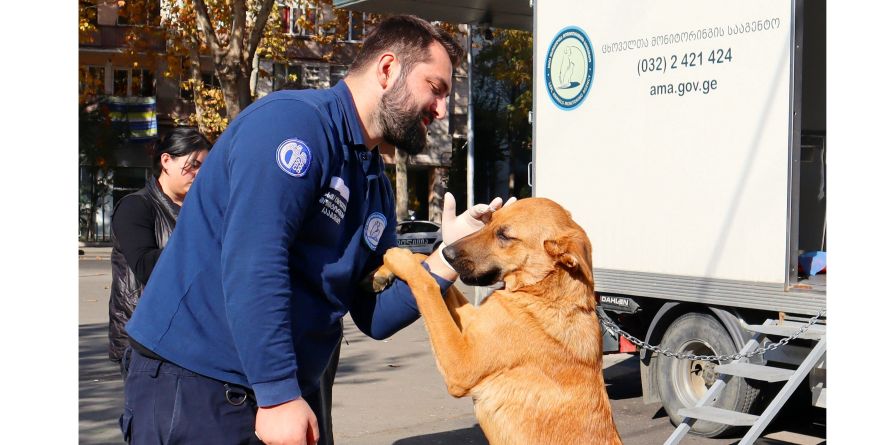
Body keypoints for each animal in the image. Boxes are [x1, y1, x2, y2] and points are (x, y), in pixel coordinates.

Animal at [382, 199, 624, 444]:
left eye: (504, 236)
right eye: (488, 221)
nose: (447, 253)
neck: (541, 295)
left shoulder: (460, 365)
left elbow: (427, 285)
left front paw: (399, 258)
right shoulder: (474, 322)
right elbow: (432, 275)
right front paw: (389, 270)